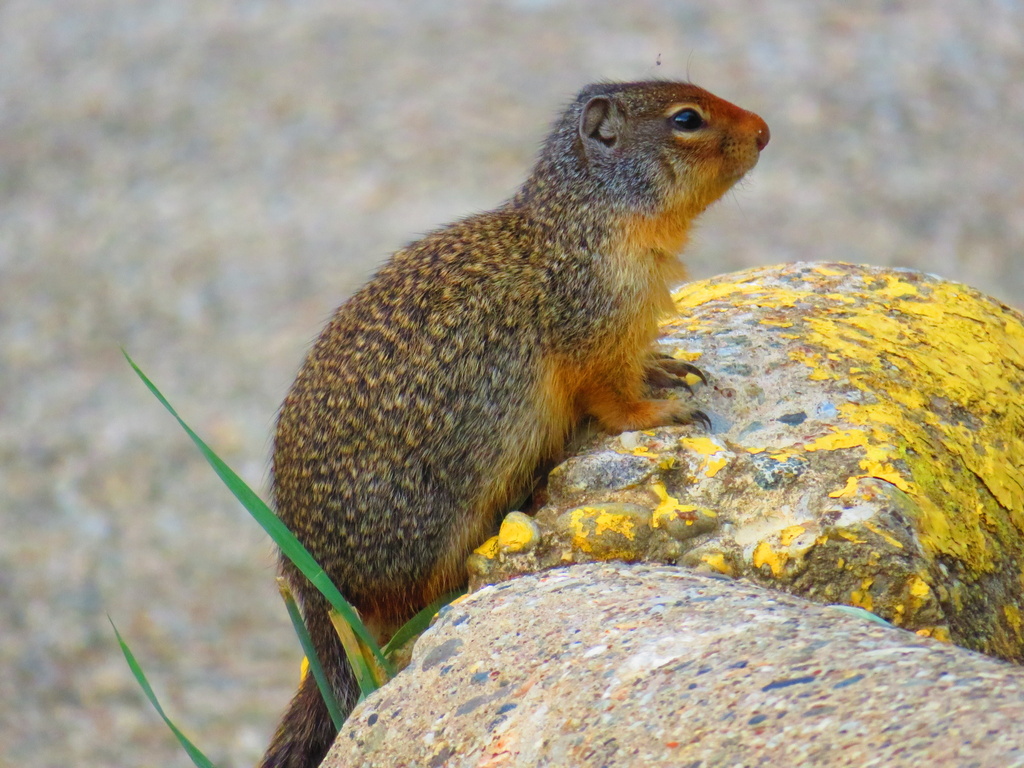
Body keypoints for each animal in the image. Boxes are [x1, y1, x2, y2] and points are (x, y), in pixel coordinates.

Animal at [260, 80, 768, 768]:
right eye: (686, 119)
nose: (765, 129)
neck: (583, 225)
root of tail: (313, 591)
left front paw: (667, 368)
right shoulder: (593, 332)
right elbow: (614, 400)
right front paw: (663, 410)